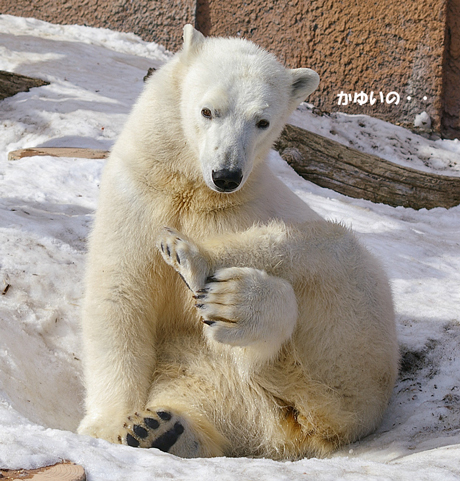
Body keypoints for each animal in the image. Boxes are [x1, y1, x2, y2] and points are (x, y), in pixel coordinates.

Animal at [76, 25, 398, 458]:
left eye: (262, 121)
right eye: (207, 111)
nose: (227, 174)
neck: (192, 189)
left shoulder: (243, 207)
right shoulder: (137, 195)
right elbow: (120, 296)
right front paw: (111, 425)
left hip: (354, 340)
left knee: (327, 252)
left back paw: (216, 283)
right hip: (205, 371)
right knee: (204, 390)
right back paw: (162, 429)